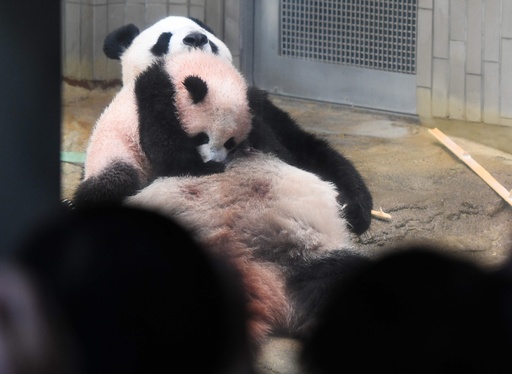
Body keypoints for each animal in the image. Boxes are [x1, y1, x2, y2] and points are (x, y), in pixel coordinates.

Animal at [74, 15, 374, 237]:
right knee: (110, 184)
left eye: (205, 31)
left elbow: (303, 149)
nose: (196, 38)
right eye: (163, 39)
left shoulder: (263, 108)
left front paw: (354, 208)